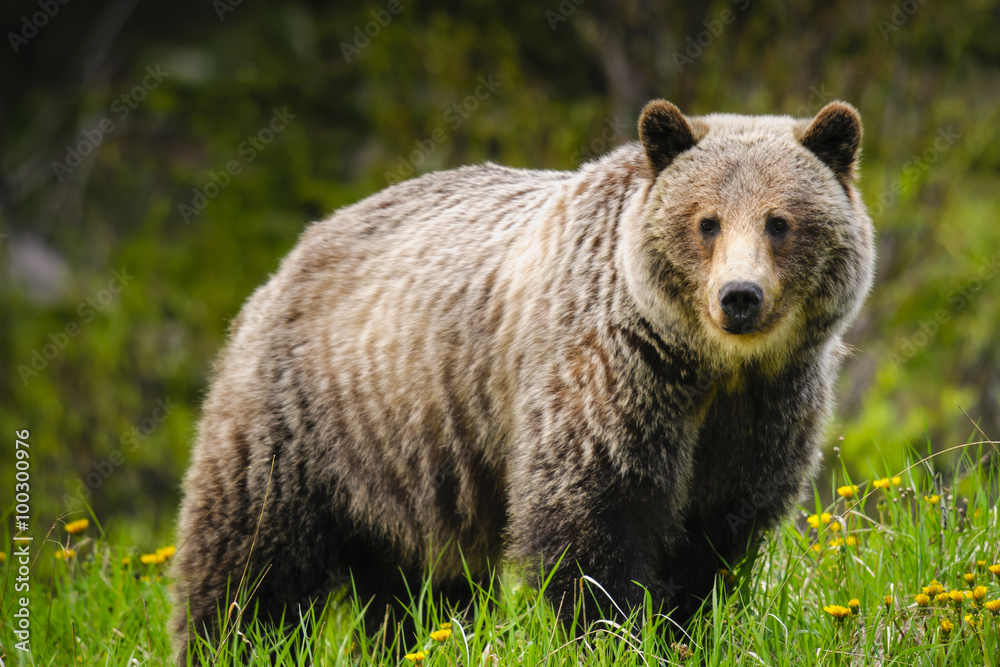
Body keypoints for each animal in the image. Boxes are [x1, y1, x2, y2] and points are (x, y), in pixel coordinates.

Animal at [171, 99, 875, 662]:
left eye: (779, 221)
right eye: (707, 221)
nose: (739, 297)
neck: (709, 366)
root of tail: (291, 256)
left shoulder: (762, 411)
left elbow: (714, 540)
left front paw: (688, 632)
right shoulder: (609, 376)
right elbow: (591, 524)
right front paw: (610, 638)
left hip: (410, 470)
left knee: (420, 591)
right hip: (306, 419)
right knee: (248, 564)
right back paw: (221, 642)